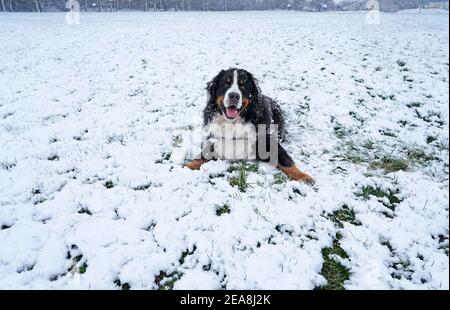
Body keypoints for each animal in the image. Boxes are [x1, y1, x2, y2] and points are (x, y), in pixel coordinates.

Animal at [185, 68, 314, 184]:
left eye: (243, 86)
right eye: (226, 83)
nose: (233, 95)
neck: (233, 123)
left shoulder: (268, 142)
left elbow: (286, 160)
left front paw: (303, 176)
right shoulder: (214, 140)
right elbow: (201, 156)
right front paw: (186, 167)